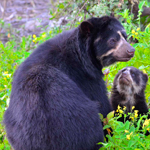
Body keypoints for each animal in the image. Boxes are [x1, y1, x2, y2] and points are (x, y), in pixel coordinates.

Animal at [3, 15, 135, 149]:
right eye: (112, 40)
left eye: (125, 36)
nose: (131, 50)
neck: (82, 55)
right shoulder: (85, 76)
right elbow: (103, 106)